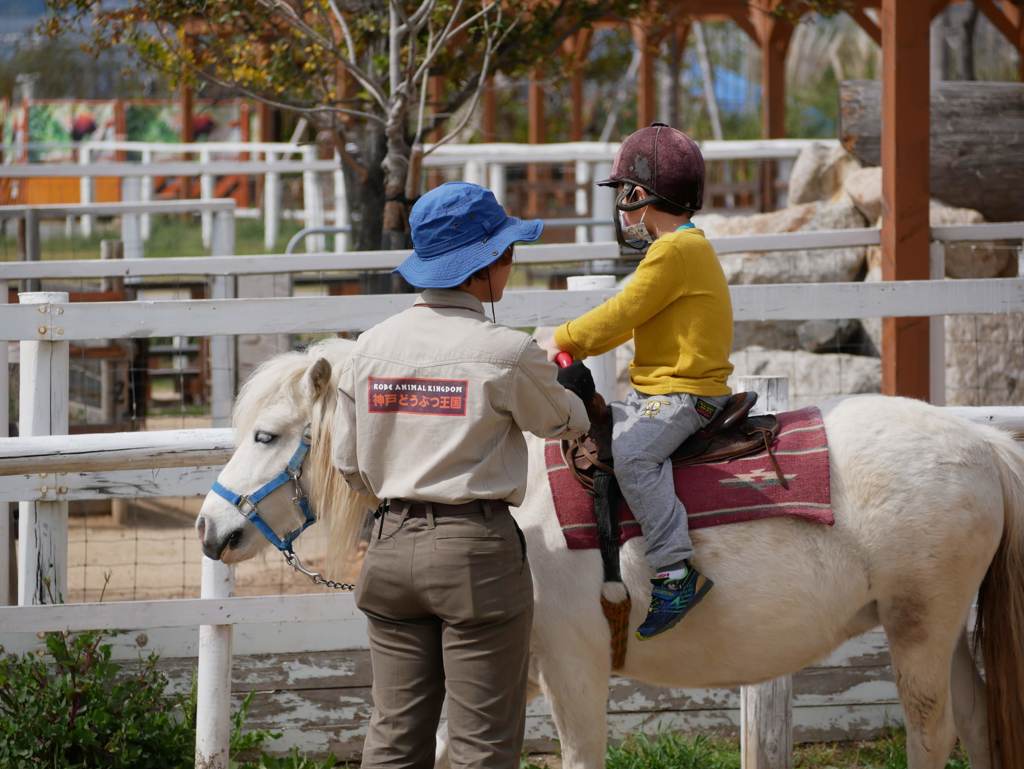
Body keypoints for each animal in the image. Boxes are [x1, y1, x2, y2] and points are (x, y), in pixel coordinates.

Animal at [197, 342, 1024, 769]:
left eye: (267, 434)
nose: (210, 529)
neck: (516, 504)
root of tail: (978, 441)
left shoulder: (574, 664)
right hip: (939, 631)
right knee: (977, 721)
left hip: (920, 627)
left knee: (933, 731)